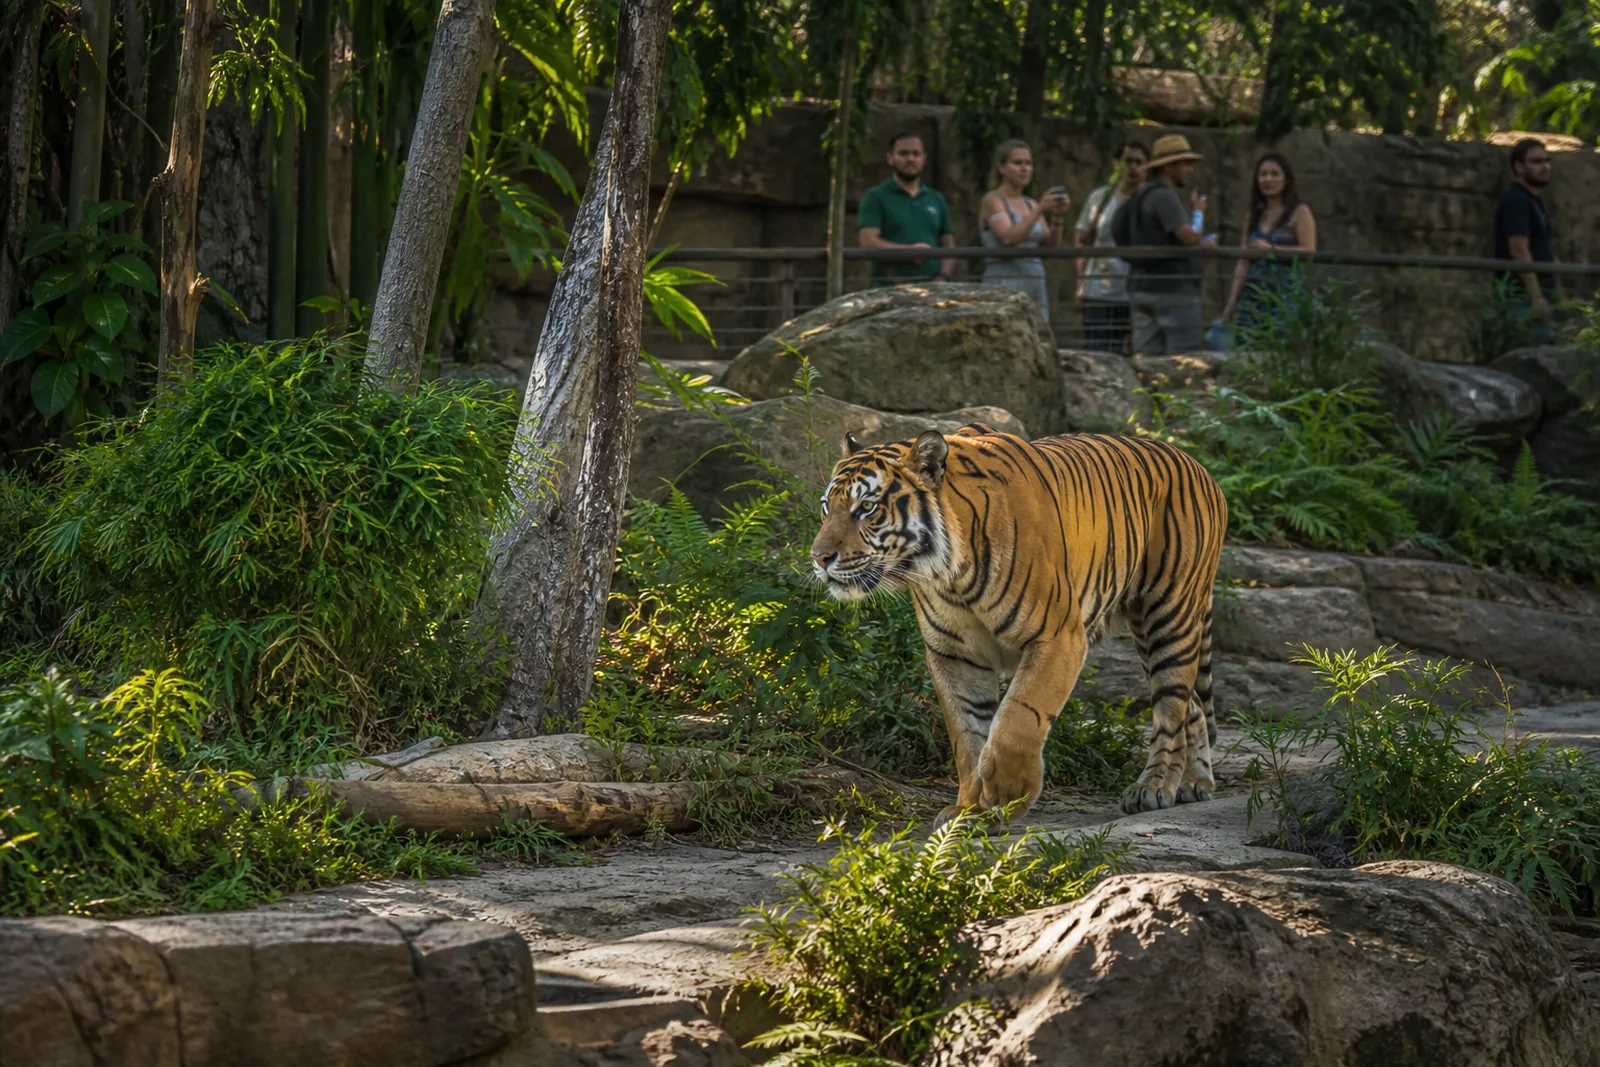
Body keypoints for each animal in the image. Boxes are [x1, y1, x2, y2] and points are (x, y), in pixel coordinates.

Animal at [809, 423, 1228, 819]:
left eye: (867, 507)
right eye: (826, 506)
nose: (819, 557)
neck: (947, 576)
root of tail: (1197, 465)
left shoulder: (1058, 636)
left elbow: (1019, 714)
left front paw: (1008, 790)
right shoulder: (953, 655)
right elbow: (967, 734)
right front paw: (970, 811)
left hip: (1169, 616)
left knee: (1172, 707)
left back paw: (1155, 787)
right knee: (1191, 704)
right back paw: (1193, 782)